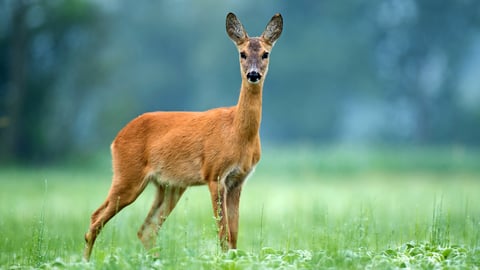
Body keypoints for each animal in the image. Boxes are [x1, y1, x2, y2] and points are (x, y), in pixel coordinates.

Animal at [84, 12, 284, 262]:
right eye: (242, 53)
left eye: (266, 53)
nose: (253, 74)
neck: (238, 134)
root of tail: (116, 139)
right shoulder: (214, 174)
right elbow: (223, 233)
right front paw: (222, 261)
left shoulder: (238, 180)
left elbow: (234, 235)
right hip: (127, 175)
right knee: (96, 219)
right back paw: (85, 261)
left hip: (169, 186)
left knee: (146, 229)